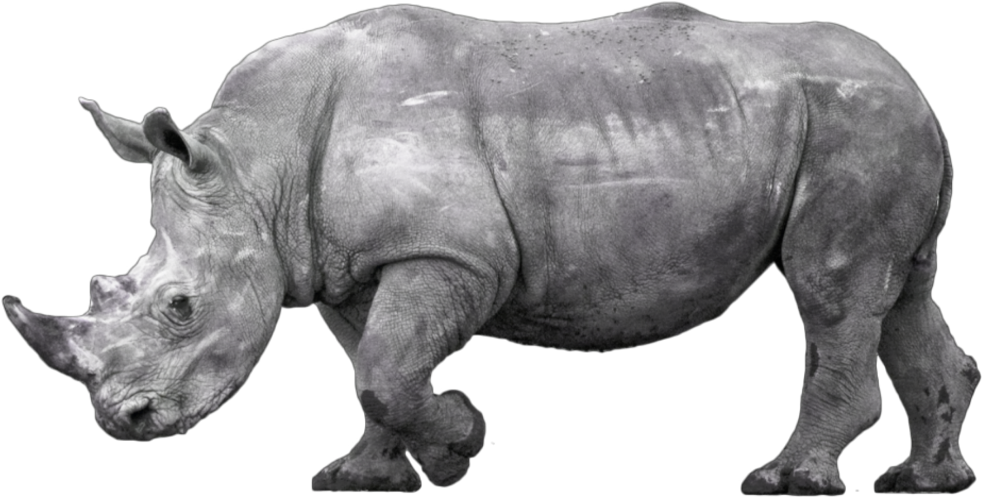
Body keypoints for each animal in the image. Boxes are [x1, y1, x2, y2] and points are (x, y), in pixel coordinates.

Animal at [3, 2, 977, 494]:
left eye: (180, 306)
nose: (124, 424)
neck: (254, 159)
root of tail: (914, 86)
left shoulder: (452, 253)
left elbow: (387, 369)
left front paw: (461, 439)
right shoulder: (347, 266)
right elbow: (374, 368)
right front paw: (369, 476)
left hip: (859, 122)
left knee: (832, 289)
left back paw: (787, 480)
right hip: (870, 122)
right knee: (902, 294)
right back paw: (925, 482)